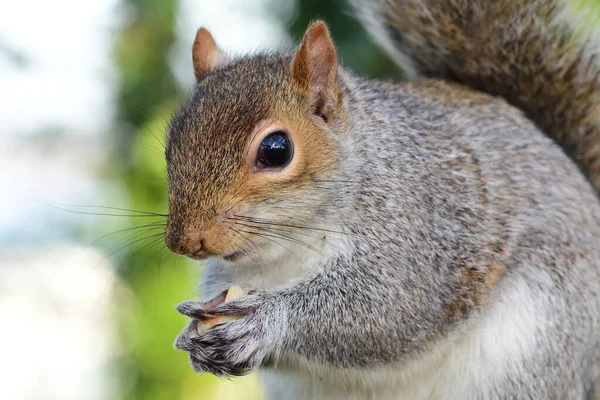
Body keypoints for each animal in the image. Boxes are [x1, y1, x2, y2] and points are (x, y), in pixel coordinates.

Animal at [163, 0, 600, 398]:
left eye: (276, 150)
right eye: (171, 143)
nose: (185, 241)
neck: (288, 251)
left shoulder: (421, 230)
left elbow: (387, 311)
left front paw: (264, 319)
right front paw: (192, 338)